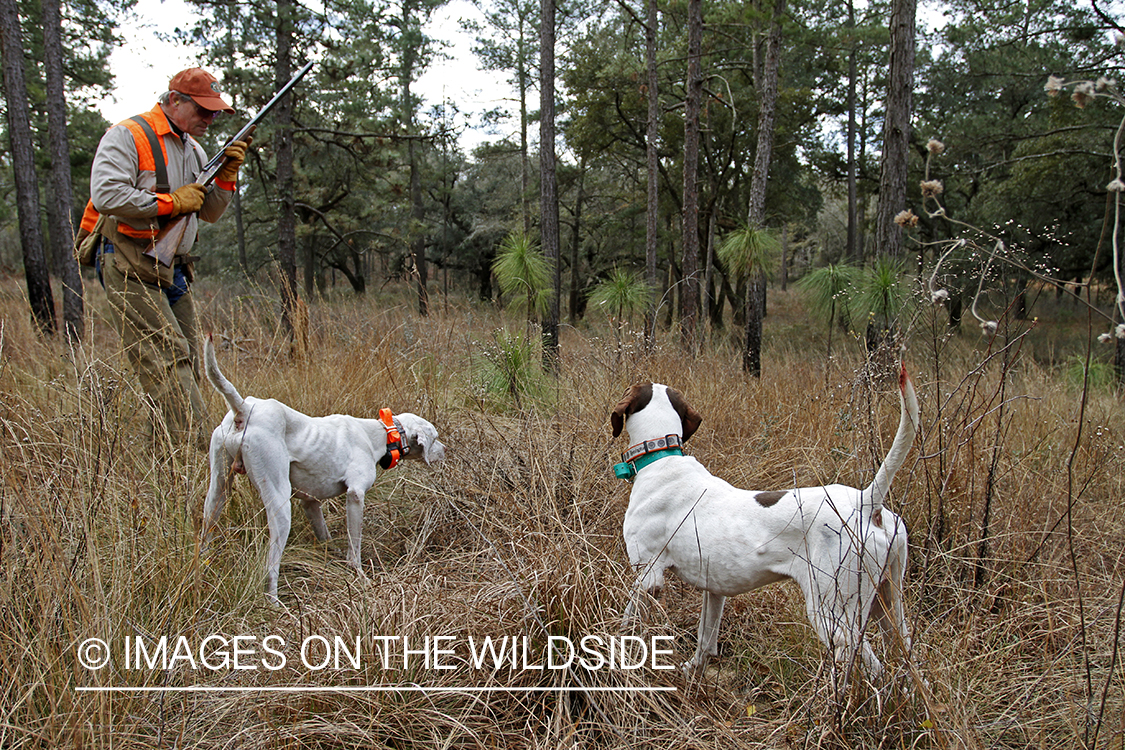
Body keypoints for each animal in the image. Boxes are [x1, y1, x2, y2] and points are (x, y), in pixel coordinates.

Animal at [200, 337, 445, 602]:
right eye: (435, 438)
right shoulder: (355, 495)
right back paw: (274, 602)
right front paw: (360, 575)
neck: (380, 434)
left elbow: (324, 535)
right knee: (271, 565)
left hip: (217, 492)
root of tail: (244, 409)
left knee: (207, 528)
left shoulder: (310, 502)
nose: (446, 449)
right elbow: (354, 545)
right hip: (279, 503)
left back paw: (203, 567)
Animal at [612, 368, 918, 692]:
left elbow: (629, 623)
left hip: (832, 613)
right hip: (889, 606)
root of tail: (866, 501)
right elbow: (706, 640)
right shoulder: (715, 589)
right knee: (906, 662)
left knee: (874, 669)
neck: (661, 458)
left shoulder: (648, 576)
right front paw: (693, 674)